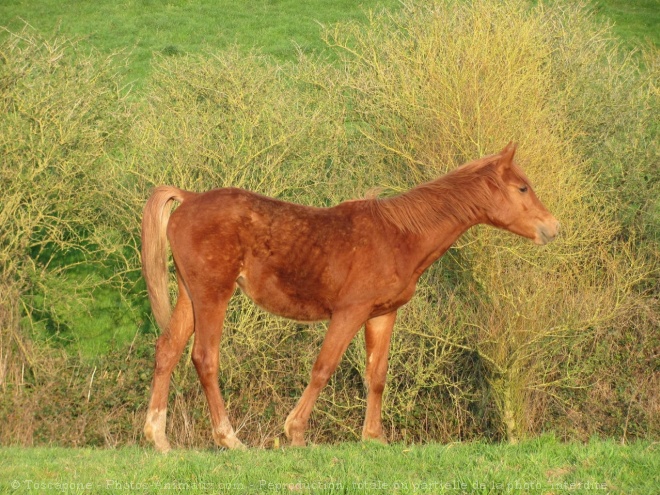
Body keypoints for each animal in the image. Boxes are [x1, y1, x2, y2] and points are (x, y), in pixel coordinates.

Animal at [142, 141, 560, 452]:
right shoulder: (349, 312)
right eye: (522, 188)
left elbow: (377, 375)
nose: (553, 227)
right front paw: (295, 432)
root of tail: (189, 198)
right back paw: (229, 439)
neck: (398, 235)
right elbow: (323, 368)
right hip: (213, 295)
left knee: (168, 350)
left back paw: (158, 438)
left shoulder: (382, 315)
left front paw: (373, 437)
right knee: (204, 358)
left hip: (190, 295)